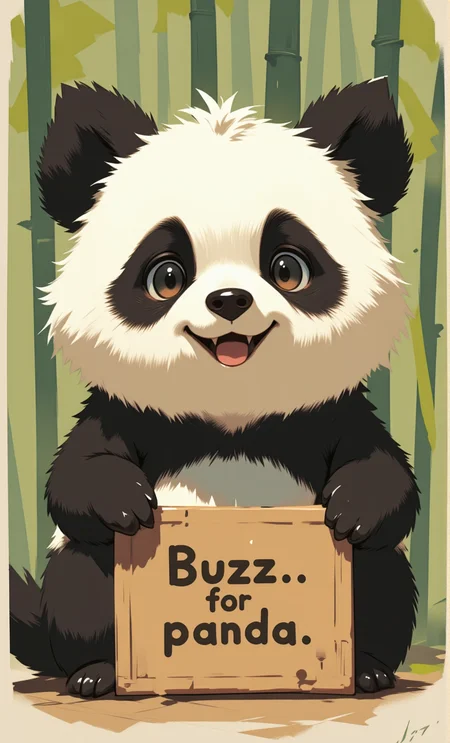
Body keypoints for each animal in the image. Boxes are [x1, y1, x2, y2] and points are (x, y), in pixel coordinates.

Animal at [9, 78, 419, 699]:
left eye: (288, 268)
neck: (232, 415)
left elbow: (386, 476)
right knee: (80, 580)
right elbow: (75, 479)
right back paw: (95, 673)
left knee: (383, 581)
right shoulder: (124, 410)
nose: (229, 301)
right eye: (166, 276)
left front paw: (351, 507)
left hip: (371, 586)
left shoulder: (331, 411)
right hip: (87, 586)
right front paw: (125, 501)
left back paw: (367, 669)